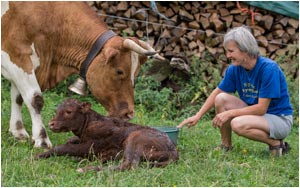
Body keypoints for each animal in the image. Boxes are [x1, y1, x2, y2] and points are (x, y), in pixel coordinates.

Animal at [1, 1, 164, 148]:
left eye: (135, 73)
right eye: (119, 71)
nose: (129, 114)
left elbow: (17, 98)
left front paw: (18, 131)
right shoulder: (18, 57)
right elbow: (35, 100)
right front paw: (42, 140)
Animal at [34, 98, 178, 172]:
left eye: (68, 111)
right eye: (57, 110)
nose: (51, 124)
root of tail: (174, 150)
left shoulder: (91, 146)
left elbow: (63, 148)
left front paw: (37, 156)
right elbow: (70, 141)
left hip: (134, 139)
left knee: (130, 165)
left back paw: (89, 169)